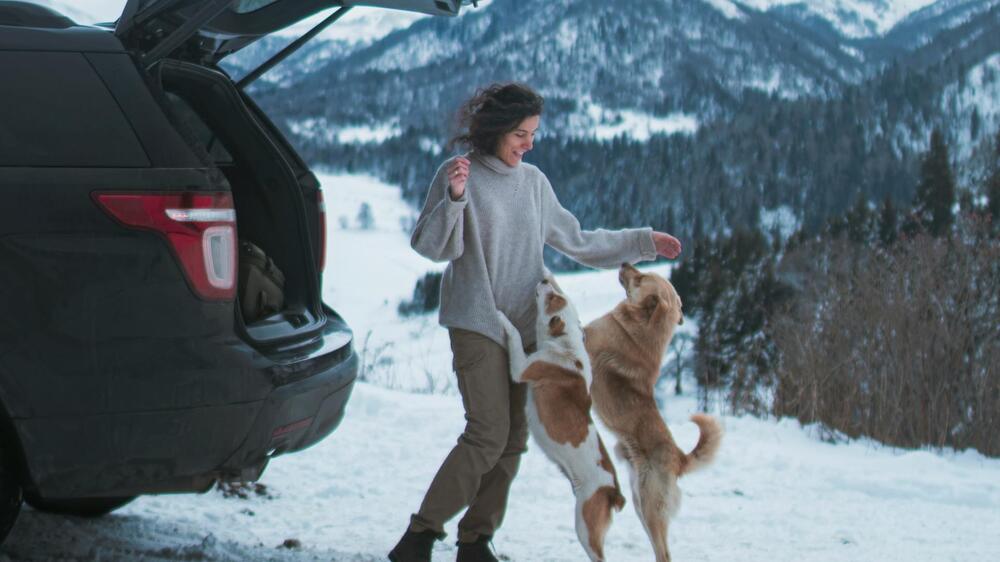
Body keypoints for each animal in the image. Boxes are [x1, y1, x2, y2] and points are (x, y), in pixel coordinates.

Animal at [498, 278, 624, 560]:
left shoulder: (522, 368)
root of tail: (614, 491)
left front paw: (501, 317)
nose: (545, 279)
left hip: (585, 523)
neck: (567, 346)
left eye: (553, 298)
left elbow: (514, 334)